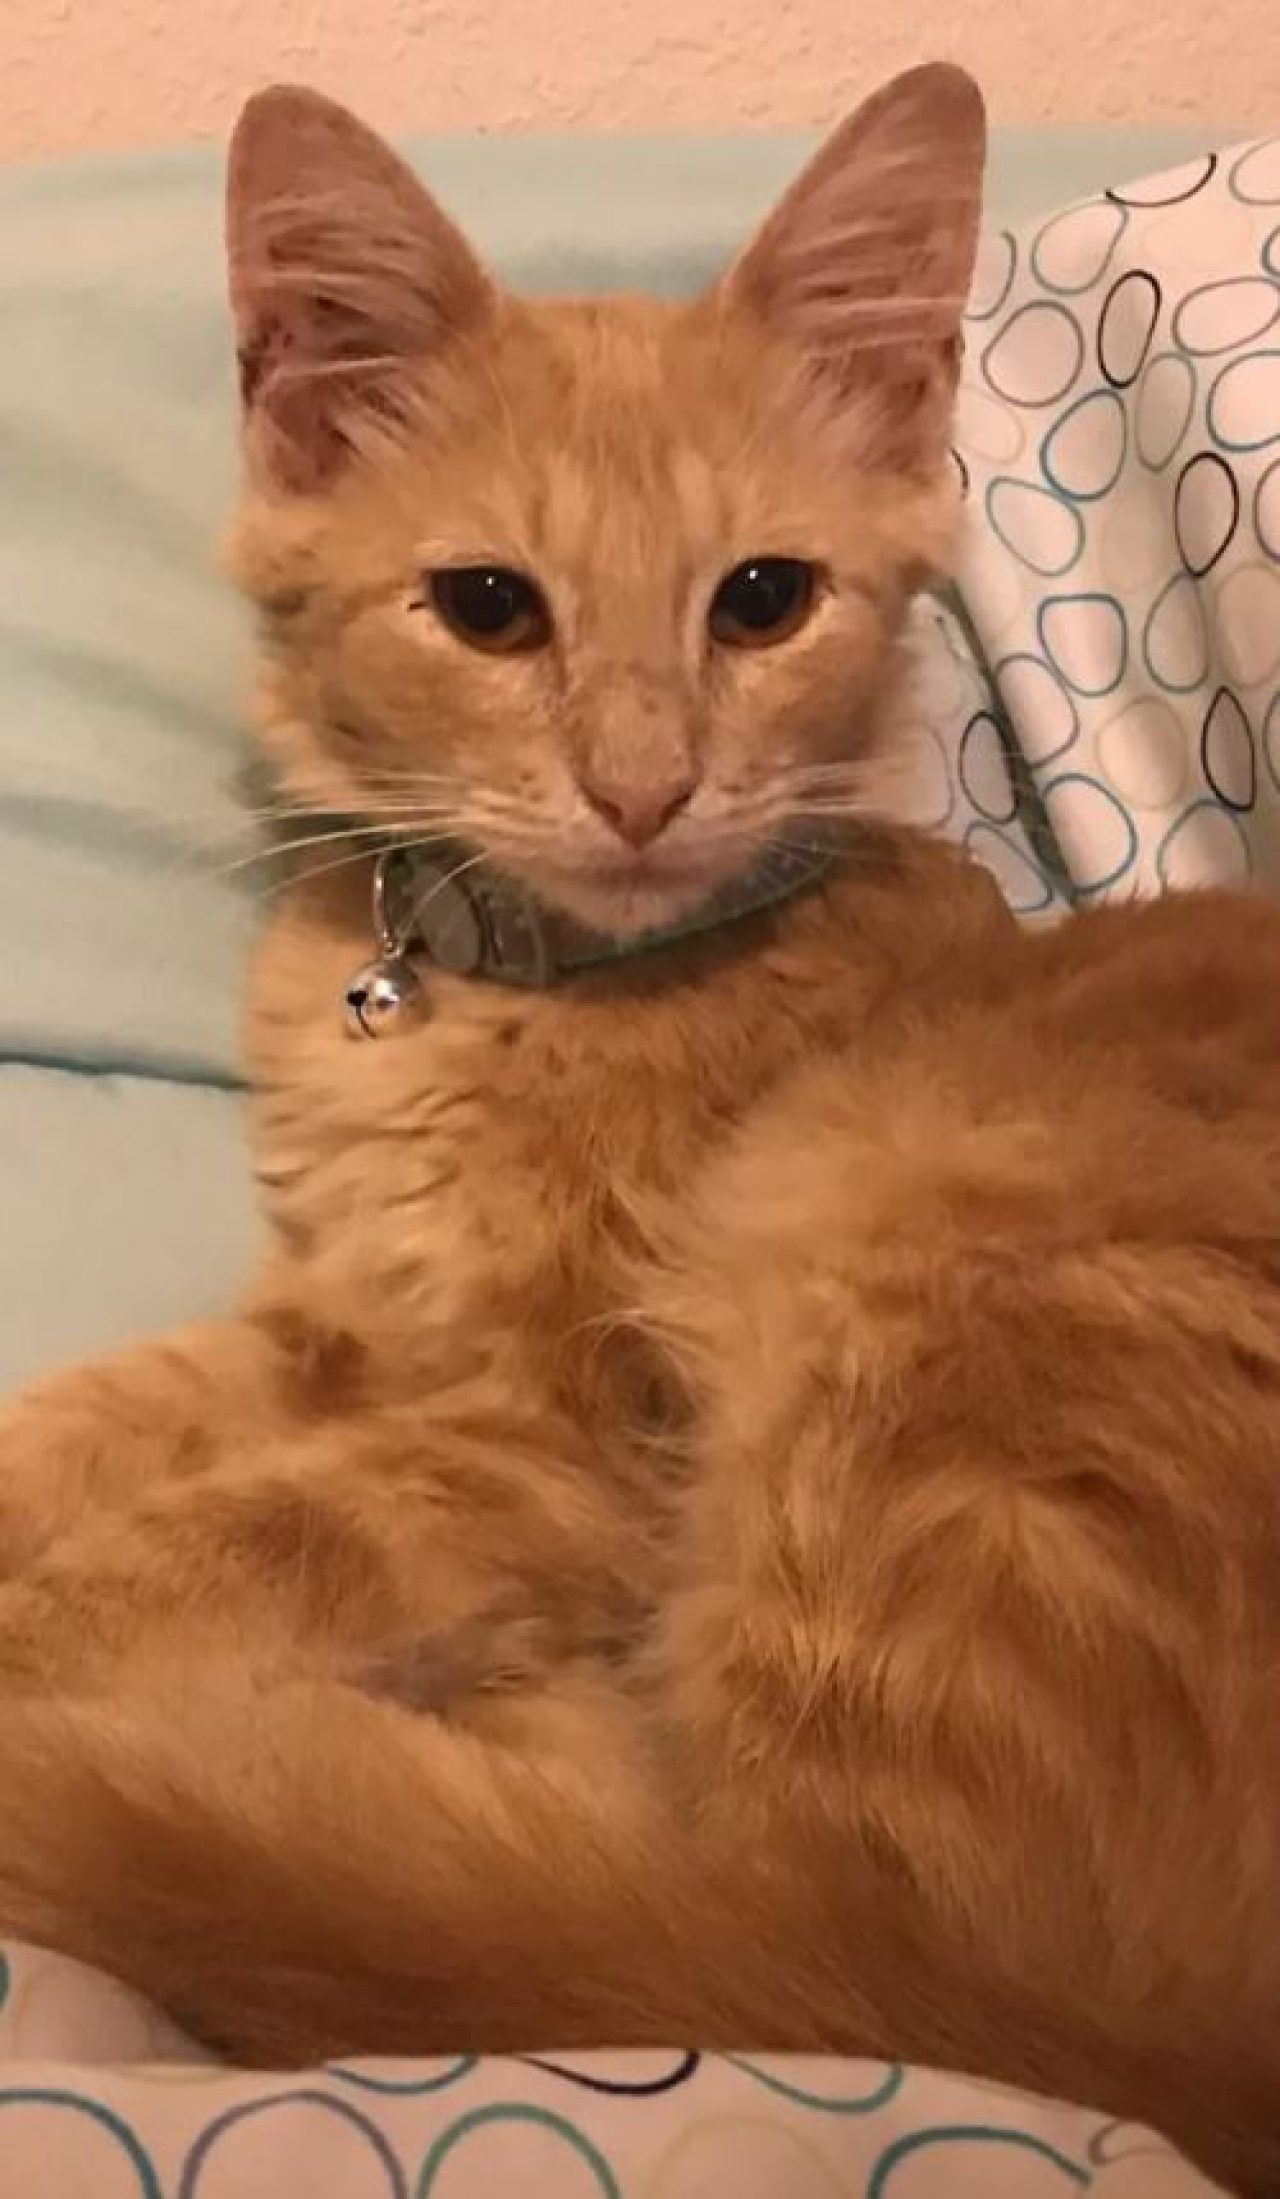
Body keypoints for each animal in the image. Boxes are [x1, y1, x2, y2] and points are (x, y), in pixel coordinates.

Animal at [2, 60, 1280, 2190]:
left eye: (761, 600)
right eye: (485, 607)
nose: (643, 790)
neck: (535, 998)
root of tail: (1175, 2044)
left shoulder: (577, 1437)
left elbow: (234, 1533)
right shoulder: (345, 1316)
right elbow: (91, 1420)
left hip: (893, 1276)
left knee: (661, 1897)